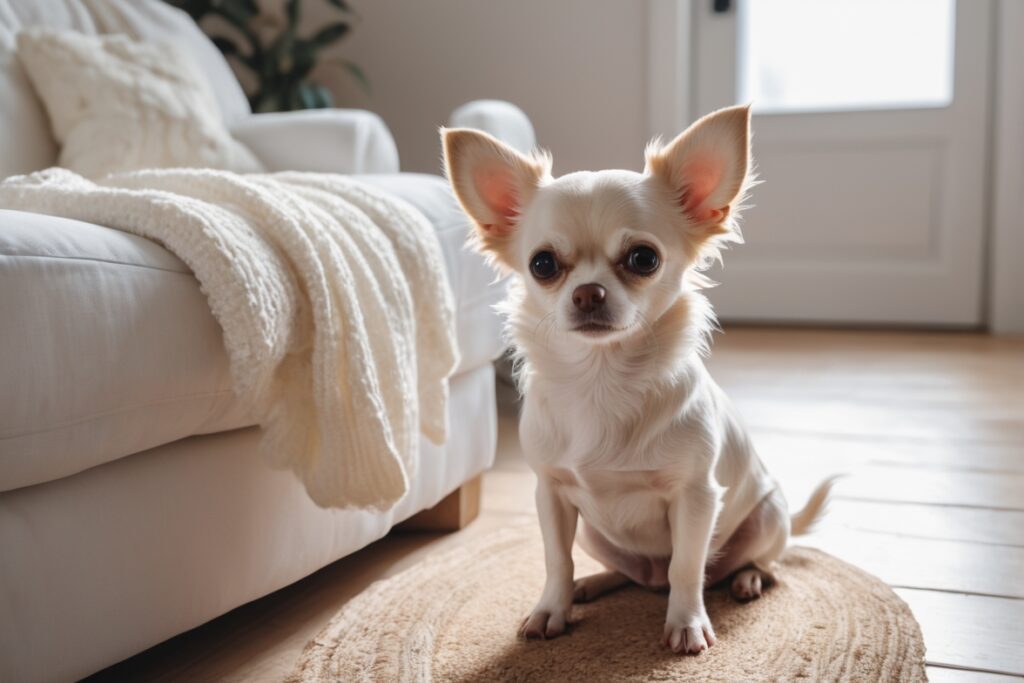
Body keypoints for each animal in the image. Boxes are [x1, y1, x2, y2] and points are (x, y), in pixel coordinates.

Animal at [440, 107, 831, 655]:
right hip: (595, 534)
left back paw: (747, 579)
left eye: (644, 258)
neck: (603, 379)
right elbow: (555, 559)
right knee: (633, 574)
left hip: (768, 515)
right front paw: (552, 609)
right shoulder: (551, 494)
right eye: (542, 264)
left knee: (753, 563)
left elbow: (686, 566)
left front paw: (686, 624)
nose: (587, 292)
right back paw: (593, 584)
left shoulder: (696, 497)